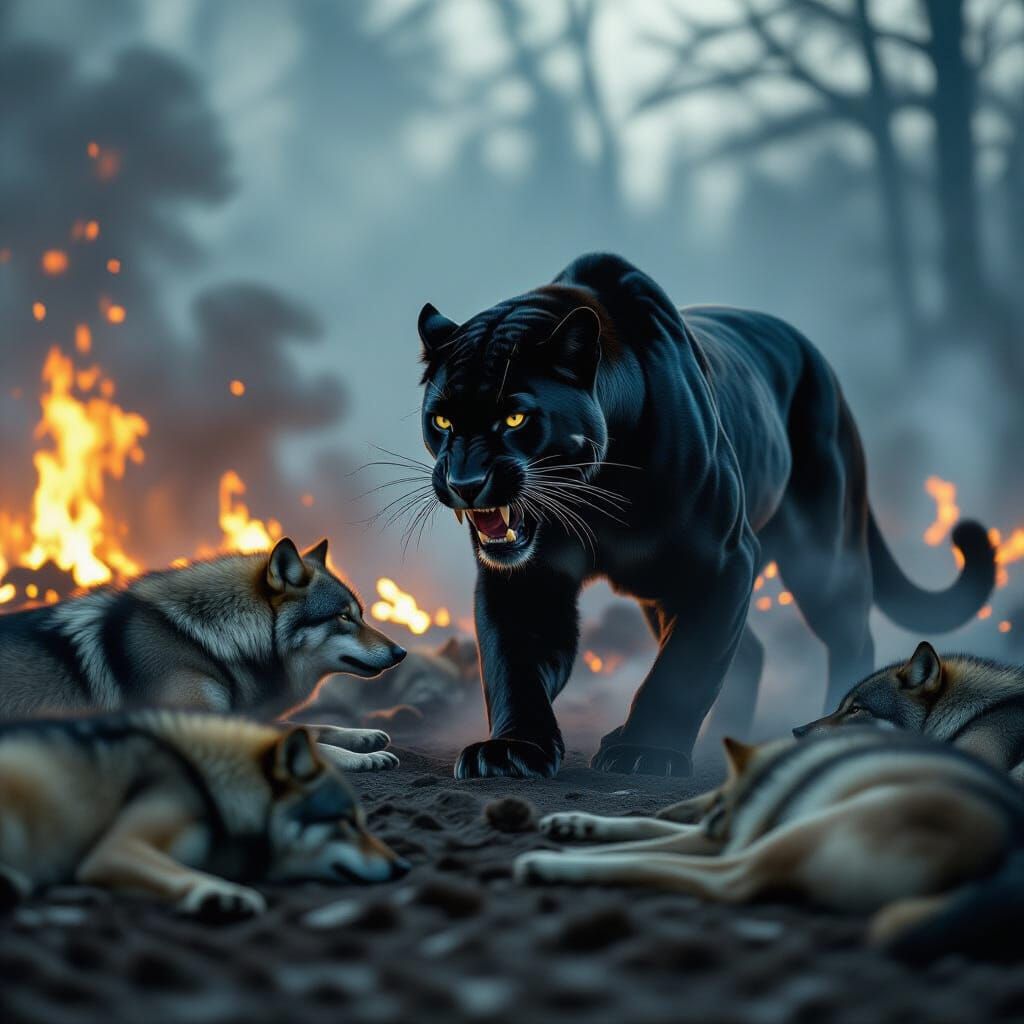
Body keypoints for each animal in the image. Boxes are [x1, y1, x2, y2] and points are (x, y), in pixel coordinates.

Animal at [0, 537, 407, 771]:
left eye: (360, 615)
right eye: (343, 617)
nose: (401, 652)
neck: (205, 642)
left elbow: (305, 727)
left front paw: (363, 737)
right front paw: (364, 758)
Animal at [416, 252, 995, 779]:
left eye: (515, 417)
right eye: (441, 420)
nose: (464, 483)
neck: (596, 496)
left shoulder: (722, 561)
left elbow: (685, 667)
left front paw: (647, 751)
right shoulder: (526, 579)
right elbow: (514, 665)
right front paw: (513, 750)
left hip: (823, 559)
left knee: (850, 637)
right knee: (751, 652)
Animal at [516, 728, 1024, 958]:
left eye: (723, 793)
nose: (709, 818)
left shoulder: (734, 833)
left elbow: (653, 838)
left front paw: (573, 842)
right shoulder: (722, 832)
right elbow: (642, 826)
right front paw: (574, 822)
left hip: (830, 821)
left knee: (724, 880)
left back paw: (554, 864)